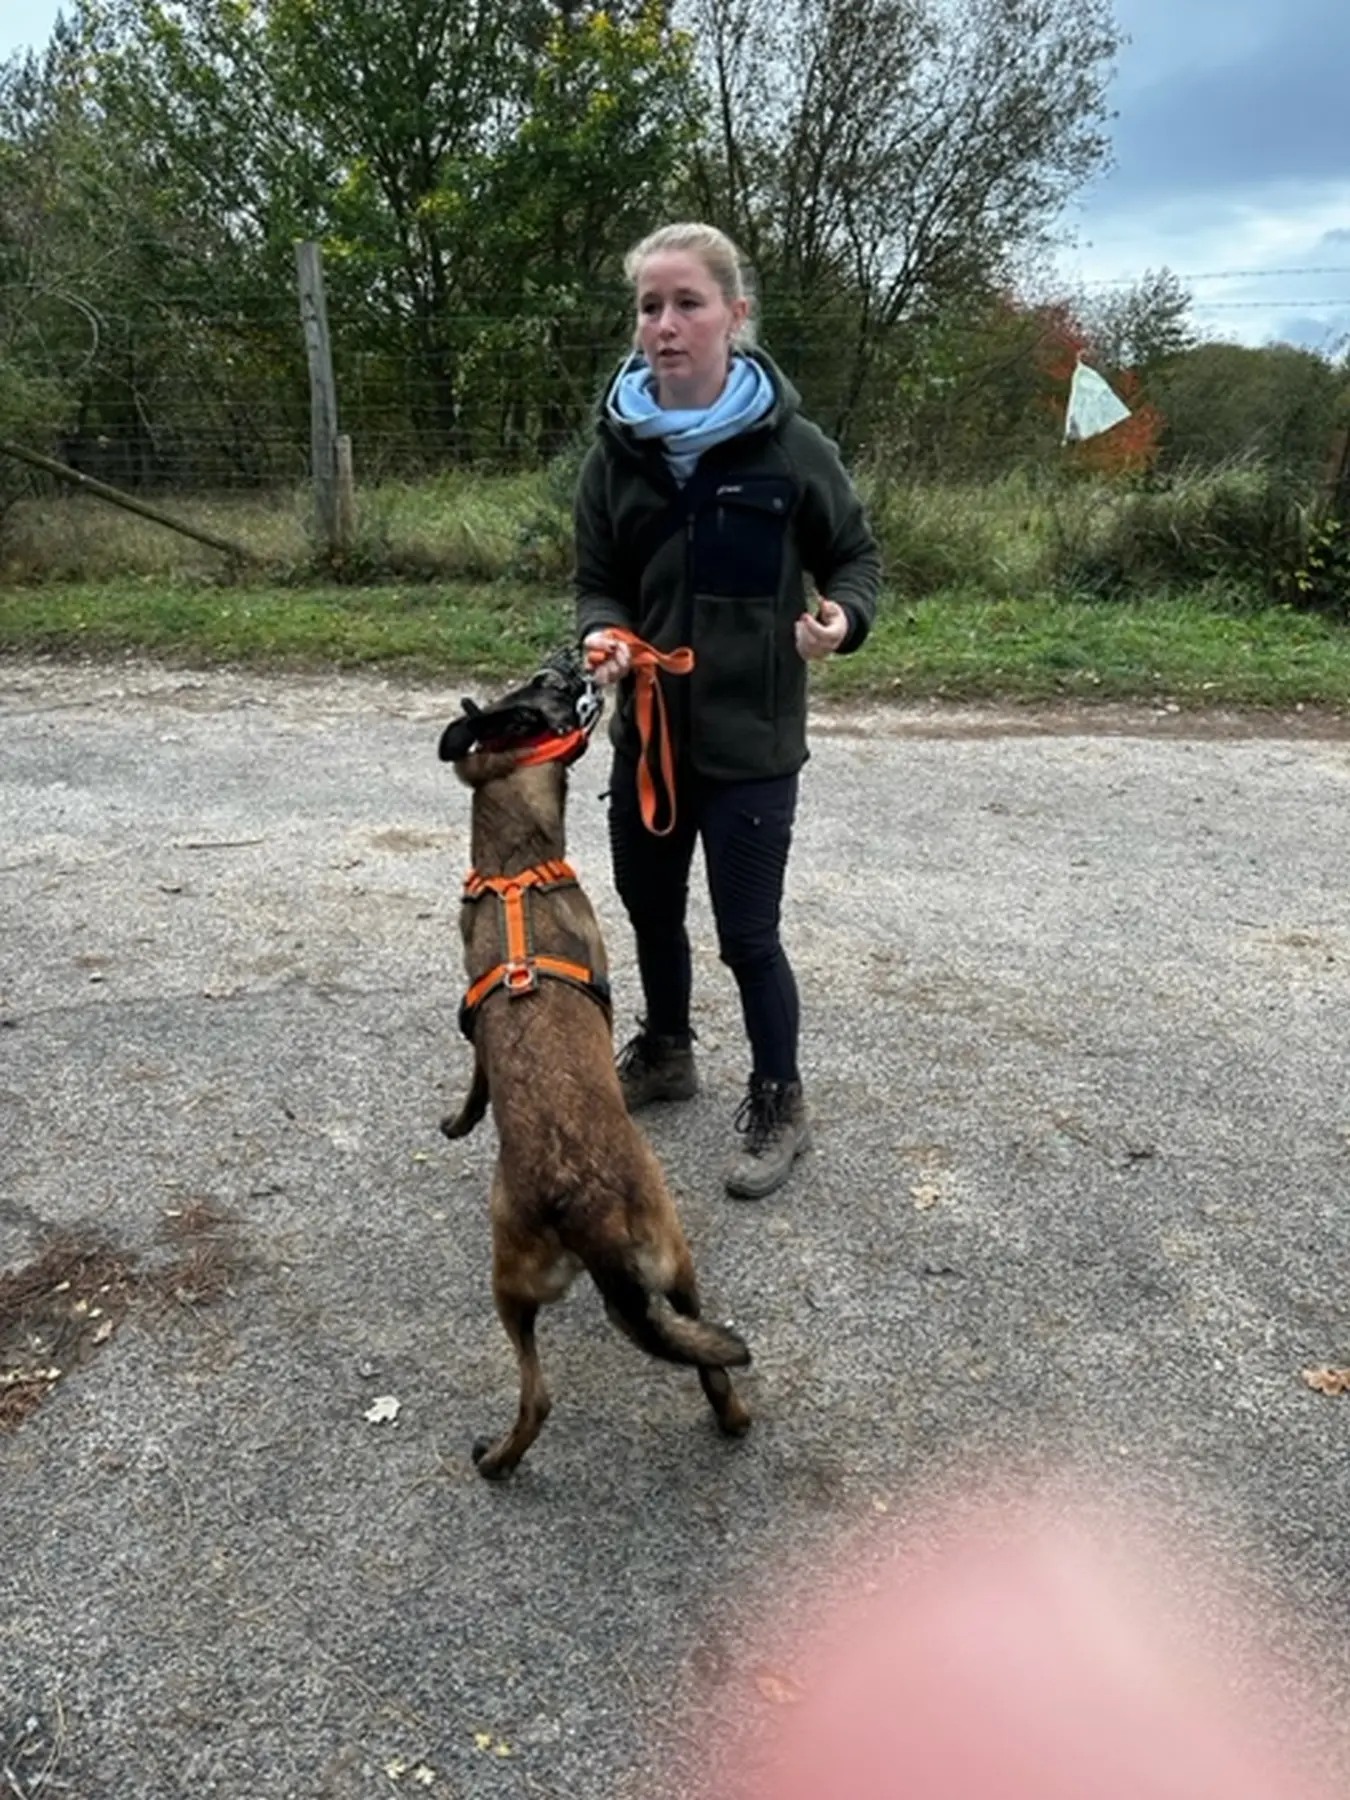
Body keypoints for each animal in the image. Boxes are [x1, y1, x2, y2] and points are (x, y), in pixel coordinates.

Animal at [439, 648, 752, 1476]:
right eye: (550, 686)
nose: (572, 655)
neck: (514, 864)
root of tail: (587, 1208)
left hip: (557, 1286)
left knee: (584, 1386)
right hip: (666, 1253)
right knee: (580, 1389)